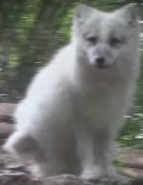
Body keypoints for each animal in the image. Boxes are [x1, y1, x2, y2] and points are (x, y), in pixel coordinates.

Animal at [3, 3, 141, 184]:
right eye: (92, 39)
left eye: (115, 41)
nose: (99, 59)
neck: (102, 84)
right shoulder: (82, 122)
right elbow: (86, 152)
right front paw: (90, 174)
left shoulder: (107, 123)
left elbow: (105, 154)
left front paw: (110, 174)